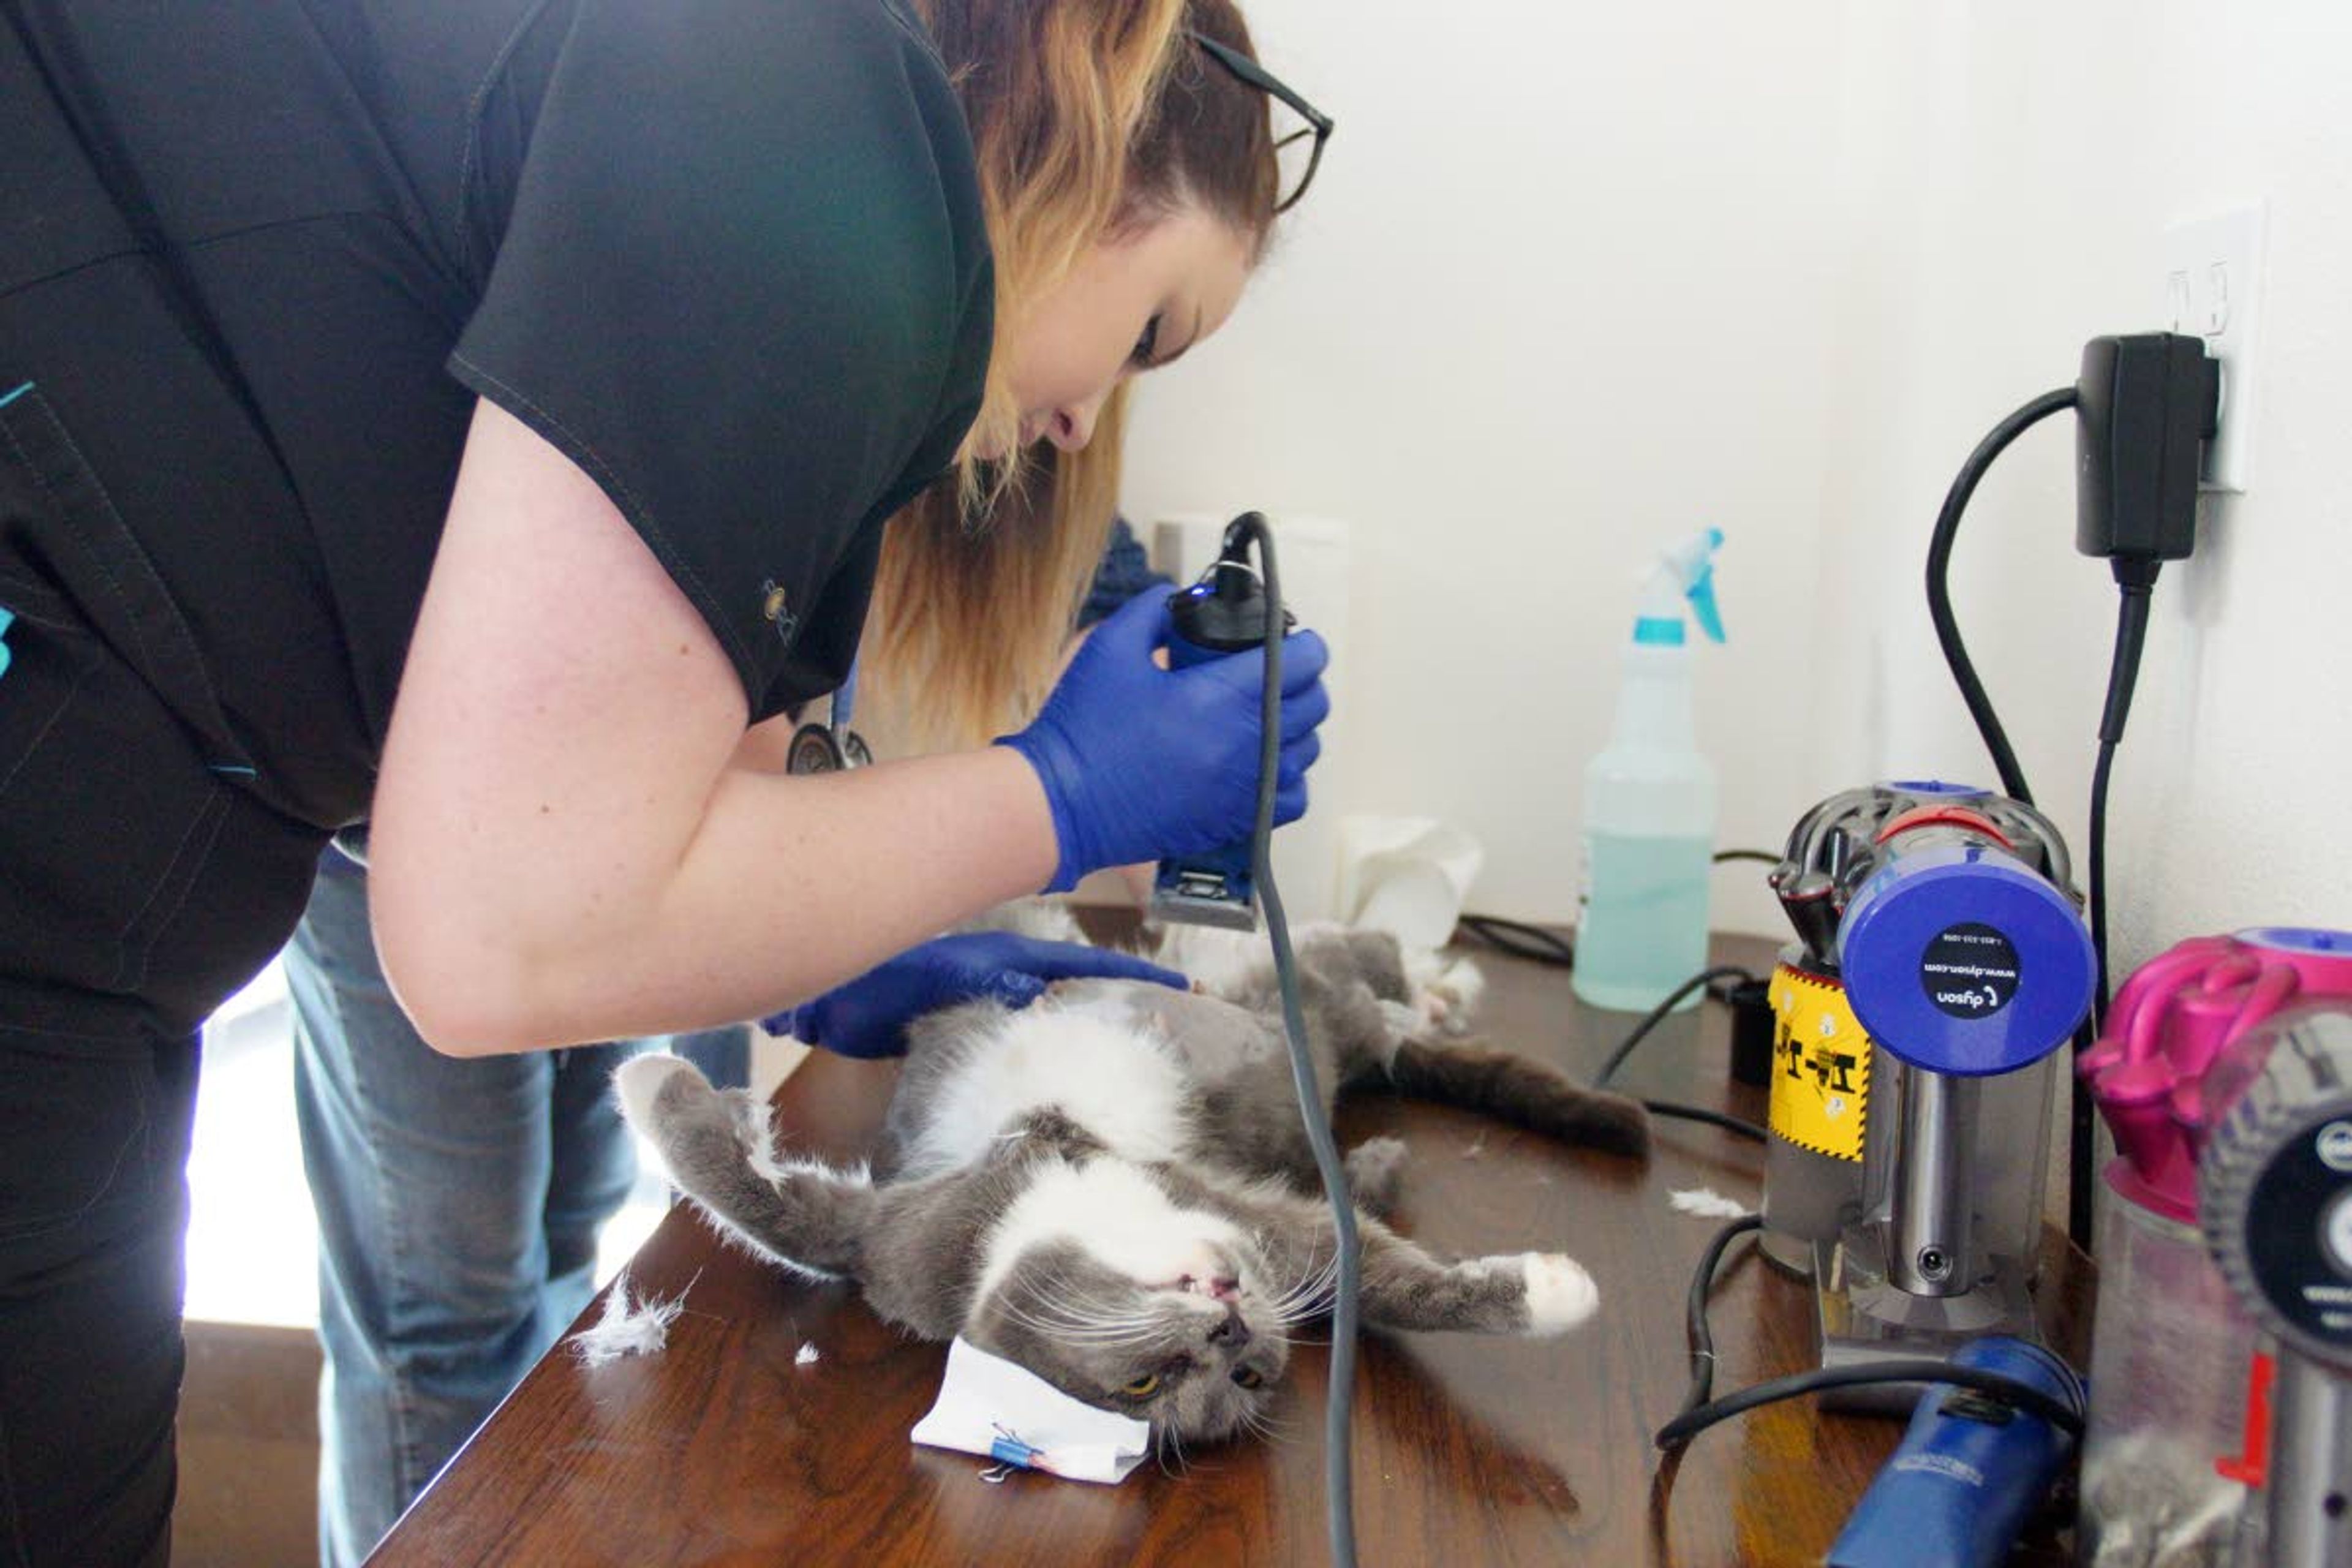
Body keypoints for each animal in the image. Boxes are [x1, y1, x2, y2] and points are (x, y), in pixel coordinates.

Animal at [625, 921, 1656, 1448]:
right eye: (1153, 1383)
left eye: (1236, 1367)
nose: (1232, 1328)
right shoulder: (904, 1234)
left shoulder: (896, 1227)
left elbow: (779, 1213)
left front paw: (644, 1078)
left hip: (1298, 989)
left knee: (1365, 954)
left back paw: (1440, 985)